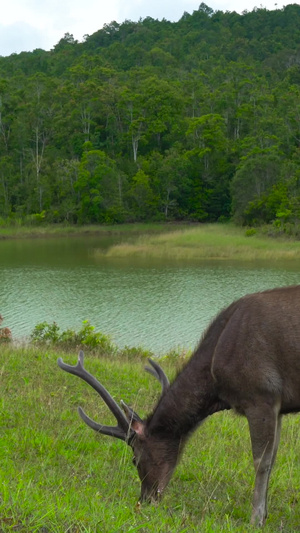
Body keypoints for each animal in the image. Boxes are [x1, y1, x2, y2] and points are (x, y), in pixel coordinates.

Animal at [58, 284, 300, 524]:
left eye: (134, 459)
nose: (145, 499)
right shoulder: (277, 407)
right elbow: (273, 459)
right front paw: (264, 513)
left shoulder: (261, 394)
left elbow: (261, 462)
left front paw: (256, 518)